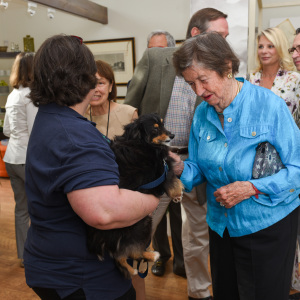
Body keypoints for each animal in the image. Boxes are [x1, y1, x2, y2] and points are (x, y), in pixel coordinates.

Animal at [86, 112, 184, 278]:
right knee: (130, 251)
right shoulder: (158, 173)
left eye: (162, 124)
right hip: (142, 223)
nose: (172, 135)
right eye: (155, 129)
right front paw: (177, 193)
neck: (141, 142)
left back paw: (134, 268)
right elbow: (170, 178)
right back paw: (151, 257)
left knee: (120, 256)